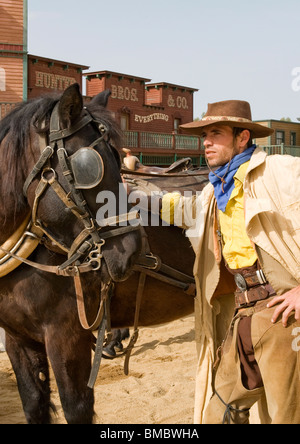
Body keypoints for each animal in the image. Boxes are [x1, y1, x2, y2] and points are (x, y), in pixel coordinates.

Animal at [0, 83, 141, 424]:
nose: (132, 252)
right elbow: (33, 404)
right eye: (89, 168)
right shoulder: (16, 338)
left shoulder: (66, 335)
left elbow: (76, 408)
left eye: (118, 158)